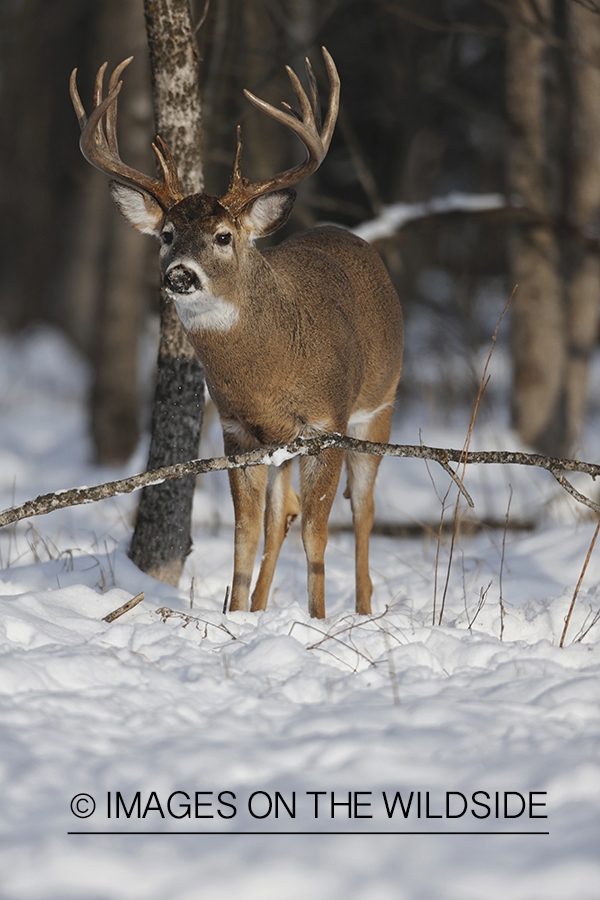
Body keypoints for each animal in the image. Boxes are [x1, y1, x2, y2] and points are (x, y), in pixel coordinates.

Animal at [71, 49, 404, 620]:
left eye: (224, 236)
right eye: (166, 234)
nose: (179, 274)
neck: (270, 371)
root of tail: (356, 240)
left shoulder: (327, 424)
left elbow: (318, 534)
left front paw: (316, 622)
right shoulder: (238, 430)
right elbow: (245, 534)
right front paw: (240, 615)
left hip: (377, 407)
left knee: (362, 509)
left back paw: (361, 609)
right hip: (280, 446)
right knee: (282, 512)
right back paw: (264, 606)